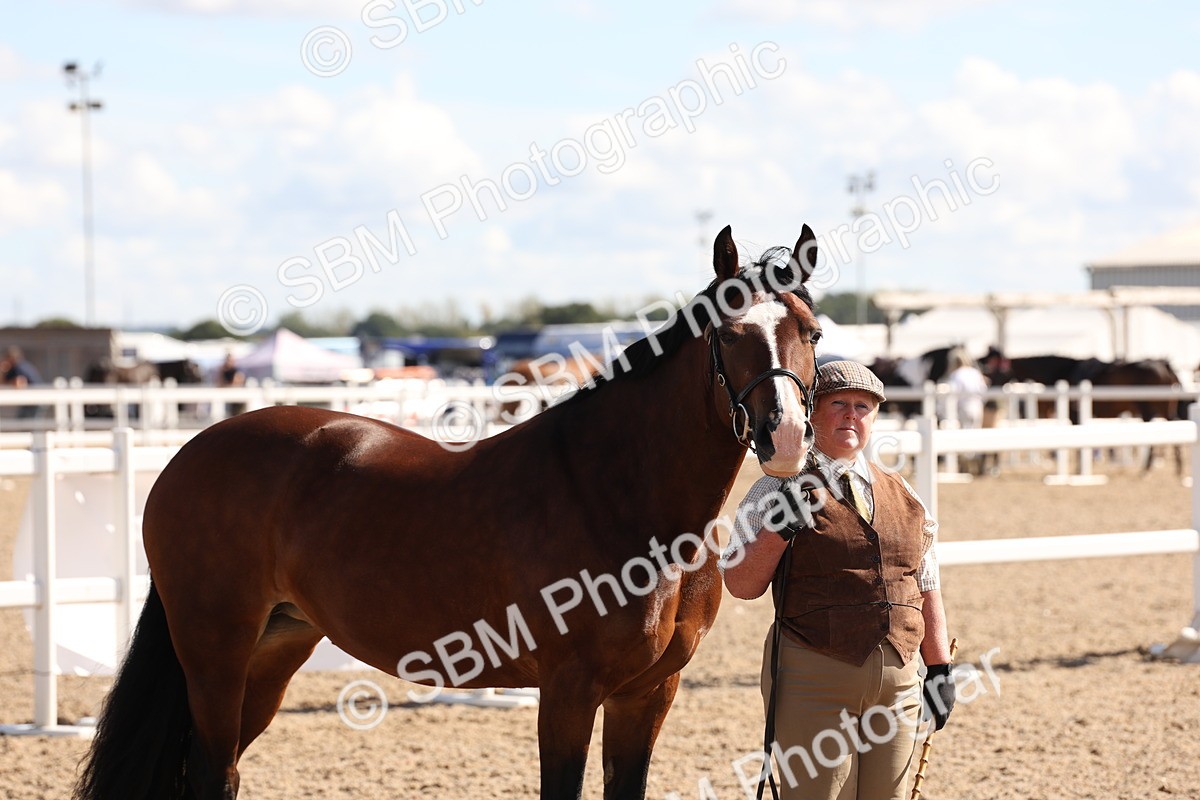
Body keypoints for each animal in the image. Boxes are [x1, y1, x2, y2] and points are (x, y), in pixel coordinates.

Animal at [74, 224, 824, 800]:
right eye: (729, 332)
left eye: (812, 331)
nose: (785, 437)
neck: (621, 500)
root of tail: (190, 454)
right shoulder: (568, 692)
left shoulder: (649, 694)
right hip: (214, 654)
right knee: (208, 774)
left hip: (273, 651)